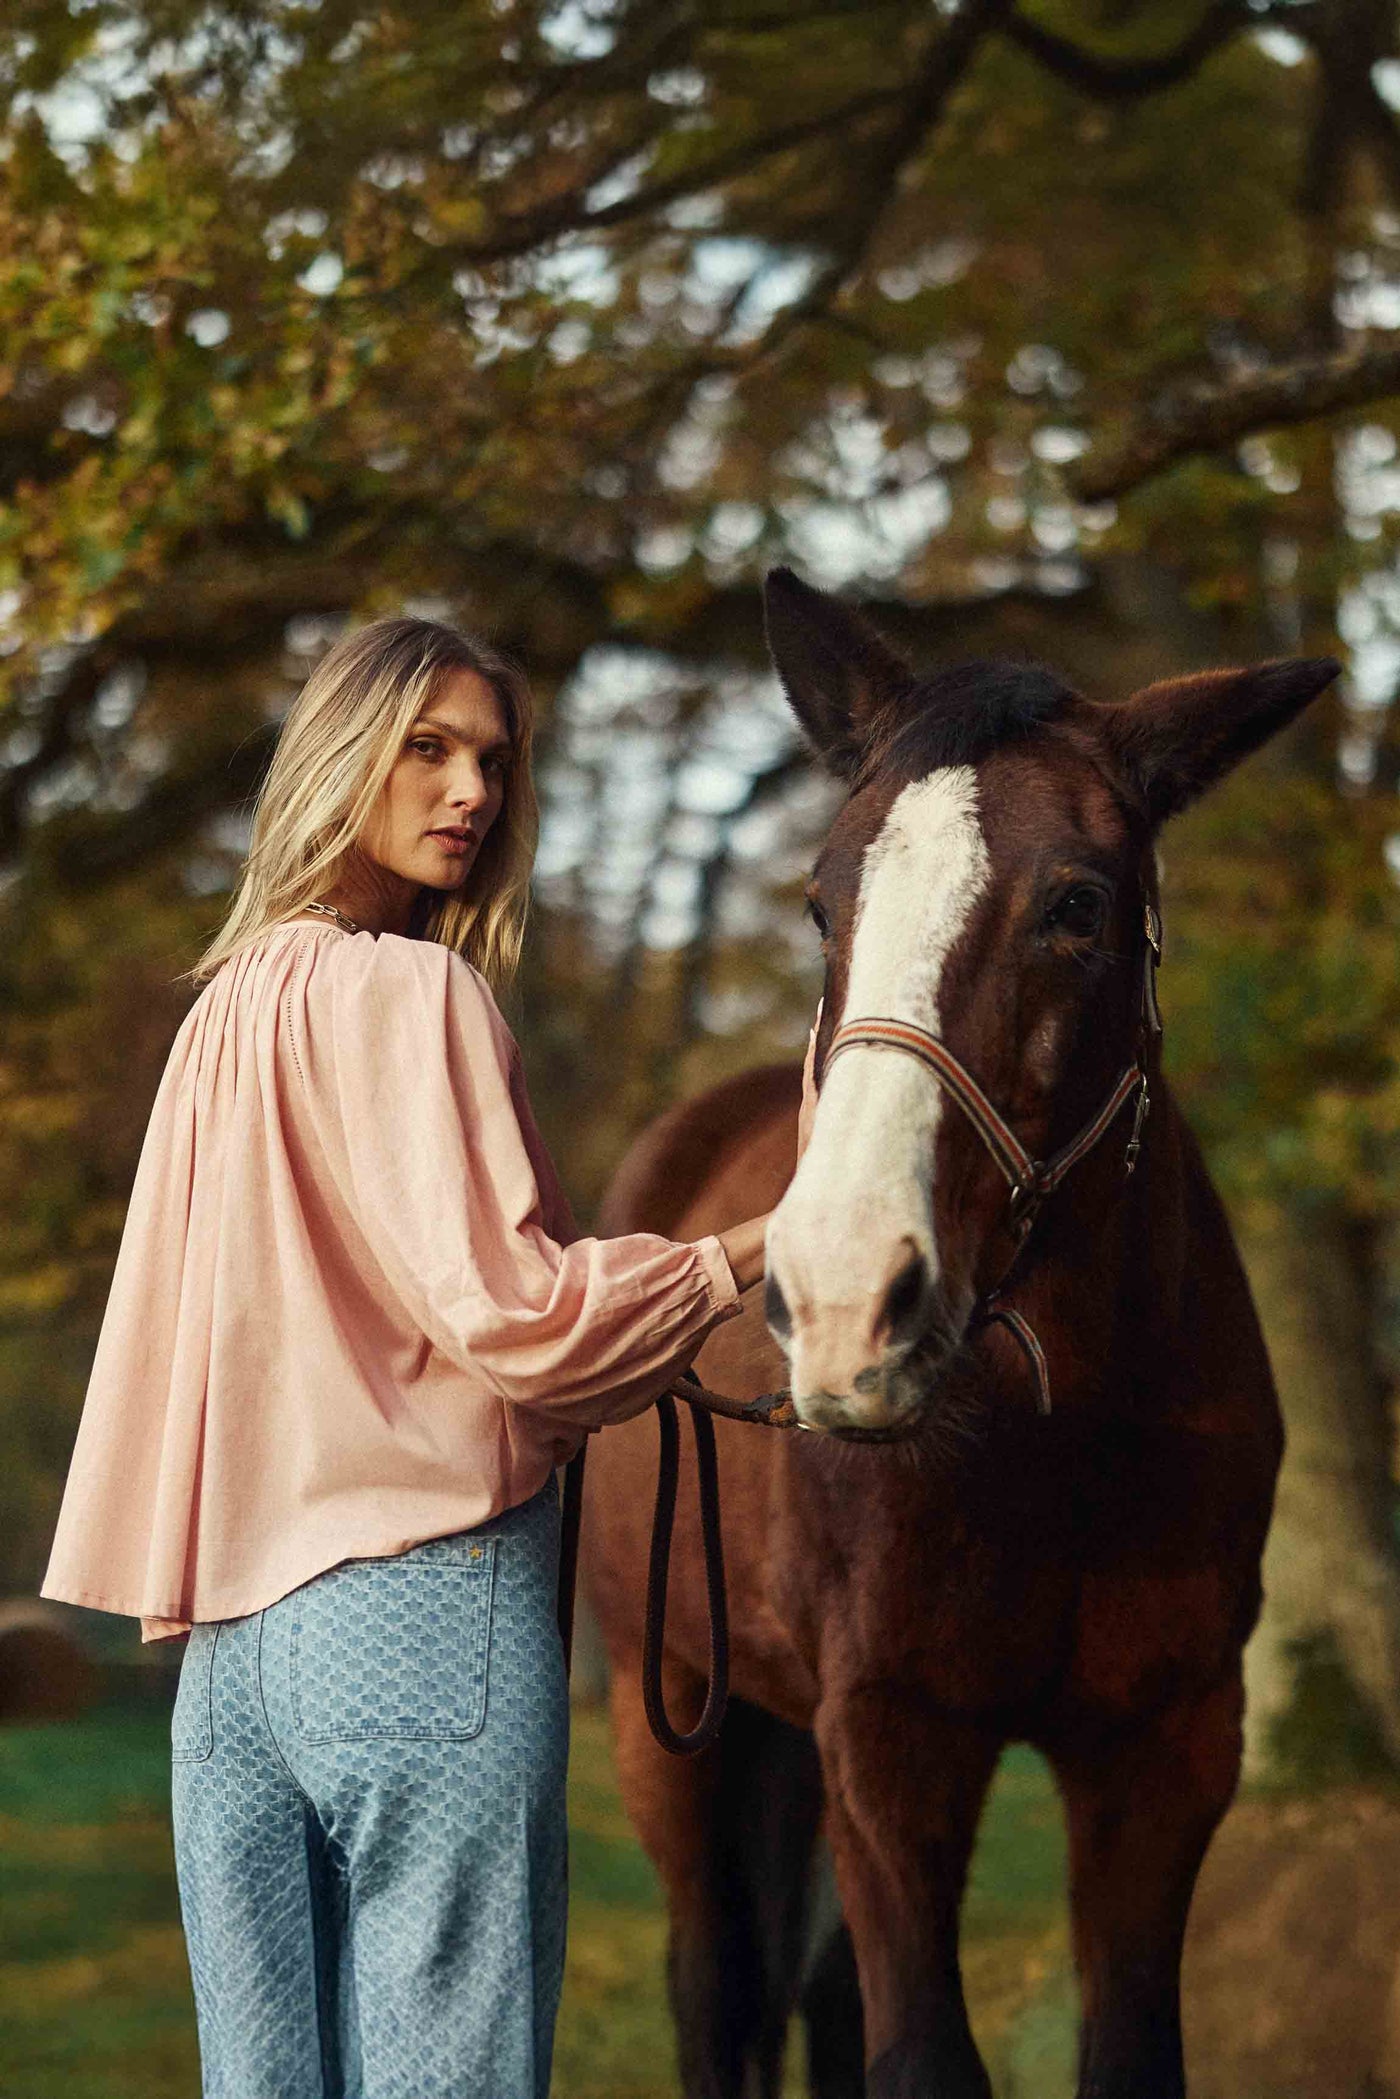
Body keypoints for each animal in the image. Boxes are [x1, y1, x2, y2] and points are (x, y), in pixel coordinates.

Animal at [583, 562, 1343, 2099]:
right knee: (715, 1980)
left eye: (1077, 907)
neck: (1061, 1439)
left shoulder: (1167, 1743)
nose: (841, 1298)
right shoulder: (892, 1739)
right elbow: (917, 2052)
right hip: (664, 1703)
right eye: (823, 905)